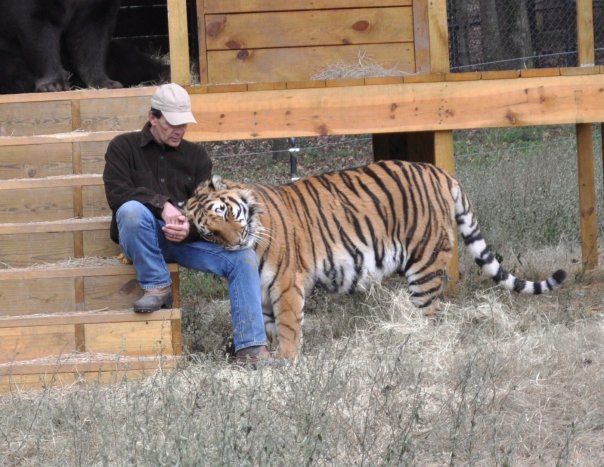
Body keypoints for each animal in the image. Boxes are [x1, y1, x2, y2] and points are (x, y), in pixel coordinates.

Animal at [184, 159, 568, 360]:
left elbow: (290, 328)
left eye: (226, 213)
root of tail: (442, 173)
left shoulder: (287, 285)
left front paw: (287, 361)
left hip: (425, 264)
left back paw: (415, 345)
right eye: (209, 233)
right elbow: (269, 327)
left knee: (430, 315)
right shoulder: (263, 293)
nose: (236, 242)